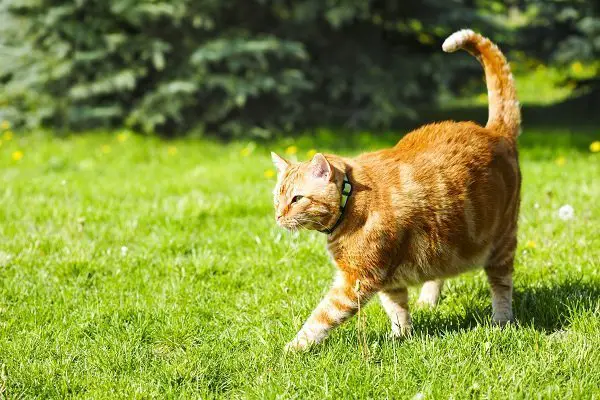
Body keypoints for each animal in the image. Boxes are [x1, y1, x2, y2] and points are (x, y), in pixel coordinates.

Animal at [272, 29, 520, 352]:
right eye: (277, 198)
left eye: (297, 198)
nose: (279, 216)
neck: (351, 200)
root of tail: (495, 131)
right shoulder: (387, 280)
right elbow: (397, 308)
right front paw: (399, 337)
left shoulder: (358, 280)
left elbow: (321, 318)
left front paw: (292, 349)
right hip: (447, 243)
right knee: (440, 274)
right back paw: (428, 300)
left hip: (502, 242)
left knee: (501, 286)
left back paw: (501, 321)